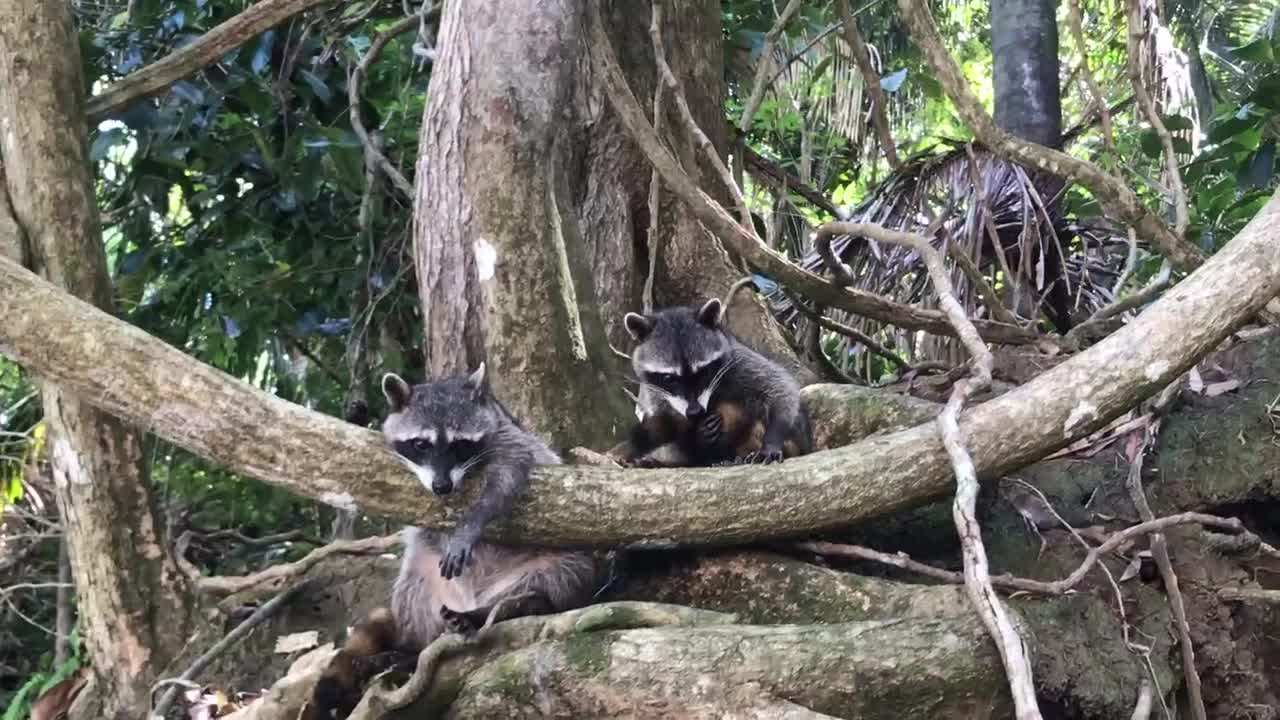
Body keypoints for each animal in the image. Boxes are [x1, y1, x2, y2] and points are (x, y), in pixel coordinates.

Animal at [309, 363, 609, 717]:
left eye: (459, 444)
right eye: (421, 444)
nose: (441, 487)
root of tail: (470, 598)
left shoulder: (509, 439)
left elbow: (506, 479)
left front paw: (471, 524)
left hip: (541, 568)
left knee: (560, 577)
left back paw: (500, 610)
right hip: (425, 575)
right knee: (411, 586)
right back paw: (409, 650)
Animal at [611, 295, 808, 466]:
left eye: (703, 372)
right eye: (669, 378)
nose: (695, 411)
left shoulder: (737, 361)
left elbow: (780, 387)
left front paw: (772, 441)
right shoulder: (655, 394)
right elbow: (666, 429)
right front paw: (694, 437)